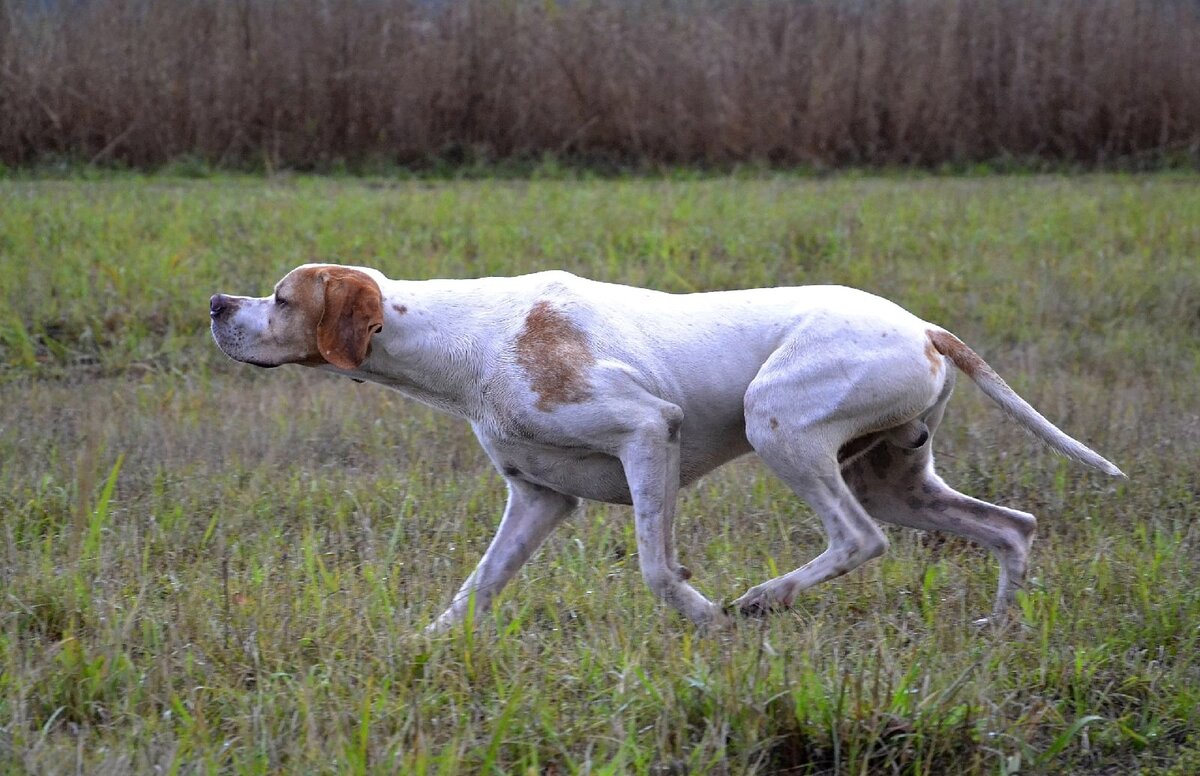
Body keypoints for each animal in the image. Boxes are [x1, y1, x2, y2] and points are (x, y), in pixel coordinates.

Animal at [211, 263, 1118, 633]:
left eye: (282, 297)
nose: (218, 304)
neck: (469, 340)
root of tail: (922, 325)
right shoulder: (538, 499)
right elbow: (473, 591)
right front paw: (423, 648)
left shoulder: (650, 433)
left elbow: (656, 568)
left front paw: (707, 617)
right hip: (894, 476)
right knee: (1013, 528)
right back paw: (994, 626)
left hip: (777, 424)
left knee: (859, 539)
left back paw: (764, 600)